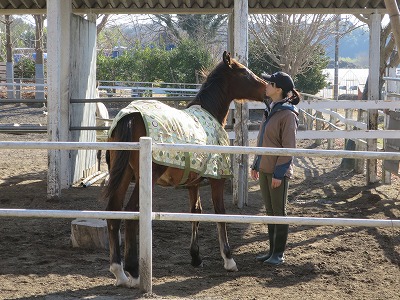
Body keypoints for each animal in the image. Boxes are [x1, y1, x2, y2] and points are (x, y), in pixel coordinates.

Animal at [104, 51, 266, 288]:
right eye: (244, 72)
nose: (266, 89)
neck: (210, 114)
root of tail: (130, 115)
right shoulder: (217, 179)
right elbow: (220, 213)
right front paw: (229, 259)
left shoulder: (193, 183)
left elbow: (195, 213)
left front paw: (196, 256)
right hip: (145, 178)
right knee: (132, 212)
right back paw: (133, 272)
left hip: (124, 174)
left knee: (113, 211)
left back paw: (120, 272)